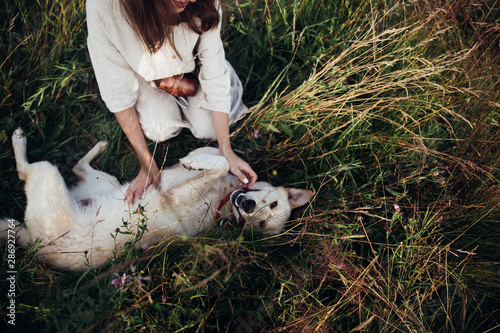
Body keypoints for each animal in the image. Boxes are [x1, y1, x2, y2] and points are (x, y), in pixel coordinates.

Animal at [2, 127, 312, 270]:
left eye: (260, 225)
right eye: (272, 203)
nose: (247, 206)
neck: (223, 202)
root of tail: (31, 242)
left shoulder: (174, 196)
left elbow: (220, 163)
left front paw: (198, 162)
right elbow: (219, 155)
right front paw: (198, 159)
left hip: (48, 175)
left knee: (25, 170)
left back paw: (19, 140)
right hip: (112, 183)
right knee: (78, 166)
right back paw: (99, 146)